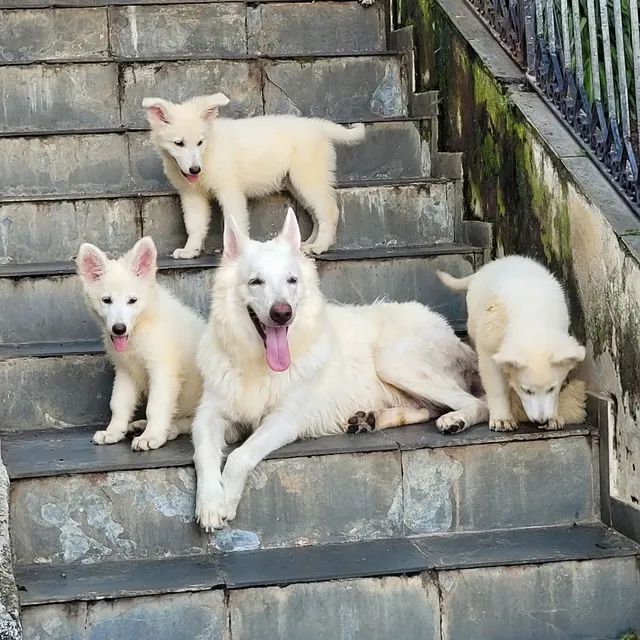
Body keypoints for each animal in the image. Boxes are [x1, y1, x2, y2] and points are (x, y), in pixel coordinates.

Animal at [75, 236, 206, 450]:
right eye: (106, 300)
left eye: (132, 300)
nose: (119, 328)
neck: (141, 326)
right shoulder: (125, 369)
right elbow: (118, 403)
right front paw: (113, 431)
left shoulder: (163, 370)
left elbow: (155, 406)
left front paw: (152, 436)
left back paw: (169, 429)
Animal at [144, 92, 364, 258]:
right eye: (179, 143)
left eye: (200, 142)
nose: (195, 170)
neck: (208, 153)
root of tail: (318, 126)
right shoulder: (191, 195)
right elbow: (194, 224)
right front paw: (190, 250)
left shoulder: (230, 191)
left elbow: (235, 222)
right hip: (296, 183)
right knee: (316, 213)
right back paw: (307, 244)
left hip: (308, 177)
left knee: (328, 210)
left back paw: (320, 246)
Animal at [191, 209, 484, 528]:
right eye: (256, 281)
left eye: (292, 280)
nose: (282, 314)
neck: (257, 363)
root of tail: (452, 333)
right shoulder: (208, 416)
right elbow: (203, 454)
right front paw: (210, 503)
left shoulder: (283, 421)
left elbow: (238, 457)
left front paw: (227, 499)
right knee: (427, 408)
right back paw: (370, 420)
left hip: (393, 361)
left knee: (477, 403)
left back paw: (455, 420)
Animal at [440, 254, 584, 430]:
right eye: (526, 390)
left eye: (551, 388)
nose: (541, 420)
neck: (531, 314)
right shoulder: (492, 330)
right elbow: (491, 371)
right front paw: (502, 421)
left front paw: (554, 419)